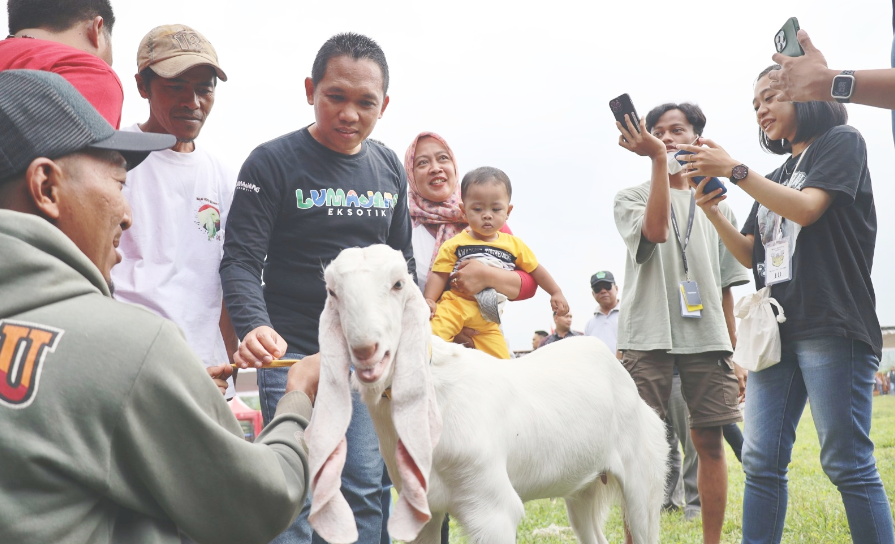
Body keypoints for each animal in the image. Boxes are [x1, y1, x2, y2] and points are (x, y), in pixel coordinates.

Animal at [304, 245, 668, 544]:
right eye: (332, 291)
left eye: (398, 284)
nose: (366, 350)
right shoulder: (422, 509)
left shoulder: (491, 508)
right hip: (583, 487)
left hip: (643, 481)